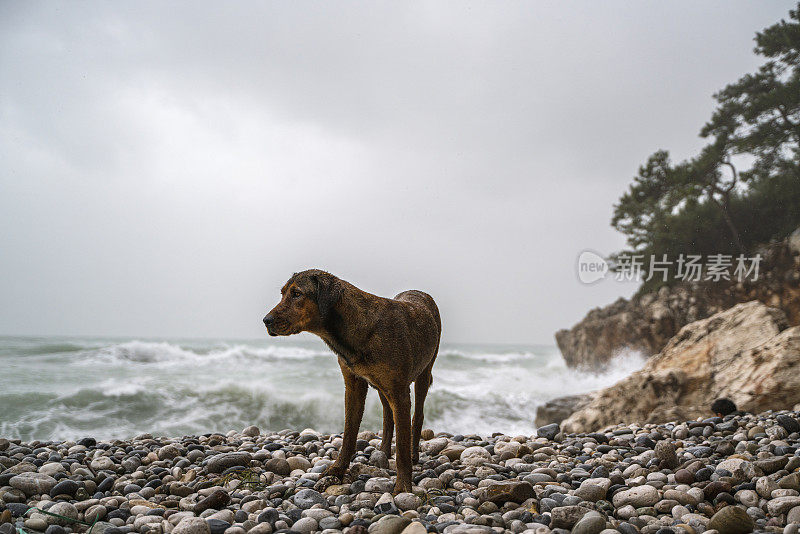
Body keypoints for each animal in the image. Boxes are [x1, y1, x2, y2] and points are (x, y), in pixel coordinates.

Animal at [262, 270, 440, 496]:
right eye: (283, 293)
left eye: (297, 294)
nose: (266, 321)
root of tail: (420, 293)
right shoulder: (354, 385)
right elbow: (349, 433)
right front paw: (336, 470)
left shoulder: (400, 392)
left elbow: (401, 445)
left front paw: (402, 487)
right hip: (381, 386)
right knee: (387, 415)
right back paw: (383, 452)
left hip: (424, 372)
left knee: (417, 416)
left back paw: (414, 454)